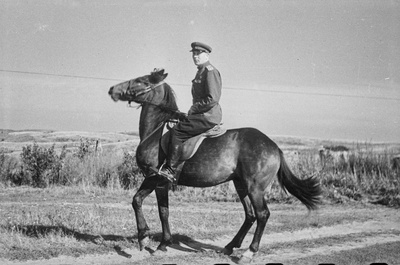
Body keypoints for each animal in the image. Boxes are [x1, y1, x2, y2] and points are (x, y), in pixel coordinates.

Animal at [108, 70, 322, 262]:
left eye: (141, 80)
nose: (112, 89)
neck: (155, 134)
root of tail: (275, 147)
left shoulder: (156, 178)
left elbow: (143, 203)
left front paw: (146, 239)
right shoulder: (160, 182)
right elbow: (161, 209)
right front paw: (161, 243)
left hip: (255, 187)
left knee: (262, 214)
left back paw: (249, 252)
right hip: (241, 184)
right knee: (250, 215)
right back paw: (230, 246)